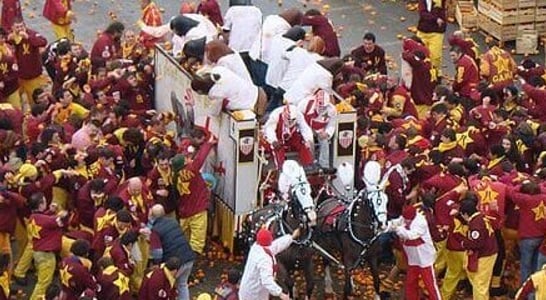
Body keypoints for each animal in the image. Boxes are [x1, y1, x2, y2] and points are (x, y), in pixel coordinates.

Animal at [310, 162, 386, 300]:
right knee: (326, 262)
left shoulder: (372, 257)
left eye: (385, 200)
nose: (383, 224)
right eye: (371, 202)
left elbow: (377, 281)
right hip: (325, 244)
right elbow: (345, 288)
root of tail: (326, 197)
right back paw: (328, 287)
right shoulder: (349, 257)